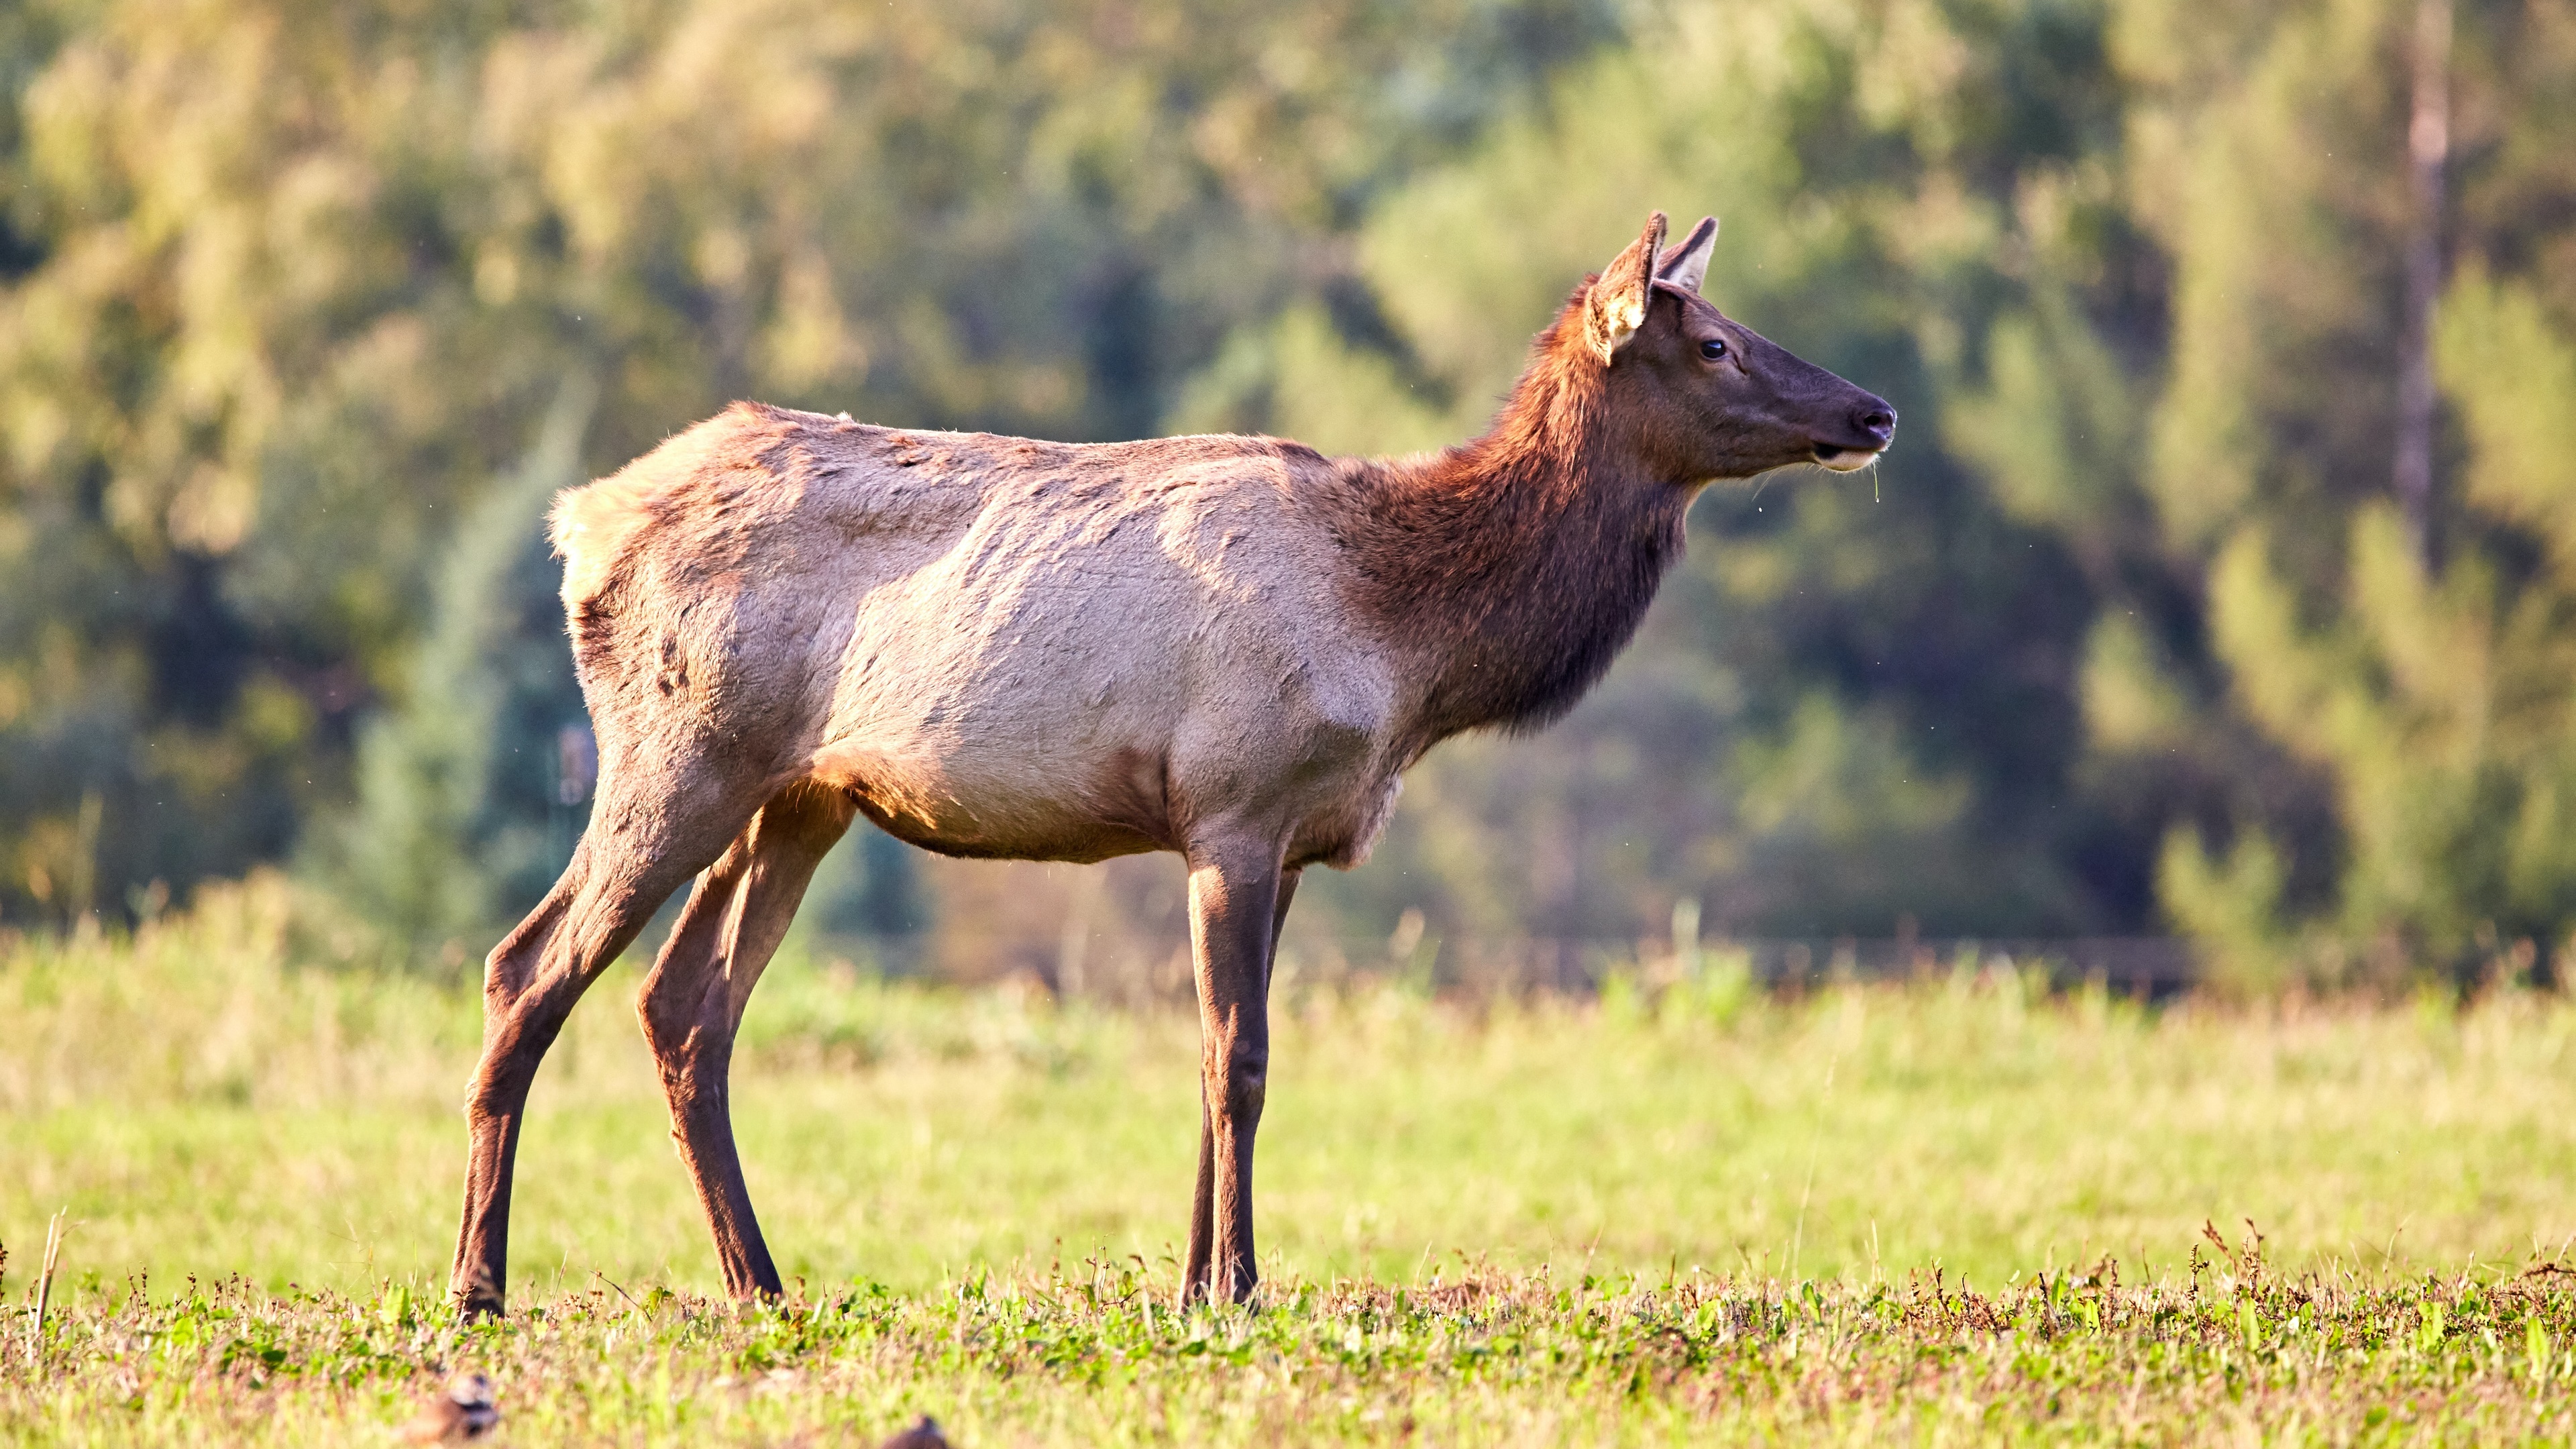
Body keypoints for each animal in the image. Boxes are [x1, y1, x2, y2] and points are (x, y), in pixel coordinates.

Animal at [448, 211, 1896, 1309]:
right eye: (1715, 342)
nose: (1875, 410)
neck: (1411, 645)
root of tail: (578, 522)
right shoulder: (1236, 802)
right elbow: (1239, 1060)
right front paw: (1239, 1285)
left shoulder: (1288, 835)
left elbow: (1220, 1059)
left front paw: (1200, 1281)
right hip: (676, 753)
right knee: (529, 965)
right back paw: (481, 1285)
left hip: (797, 797)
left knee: (683, 1004)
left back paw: (760, 1283)